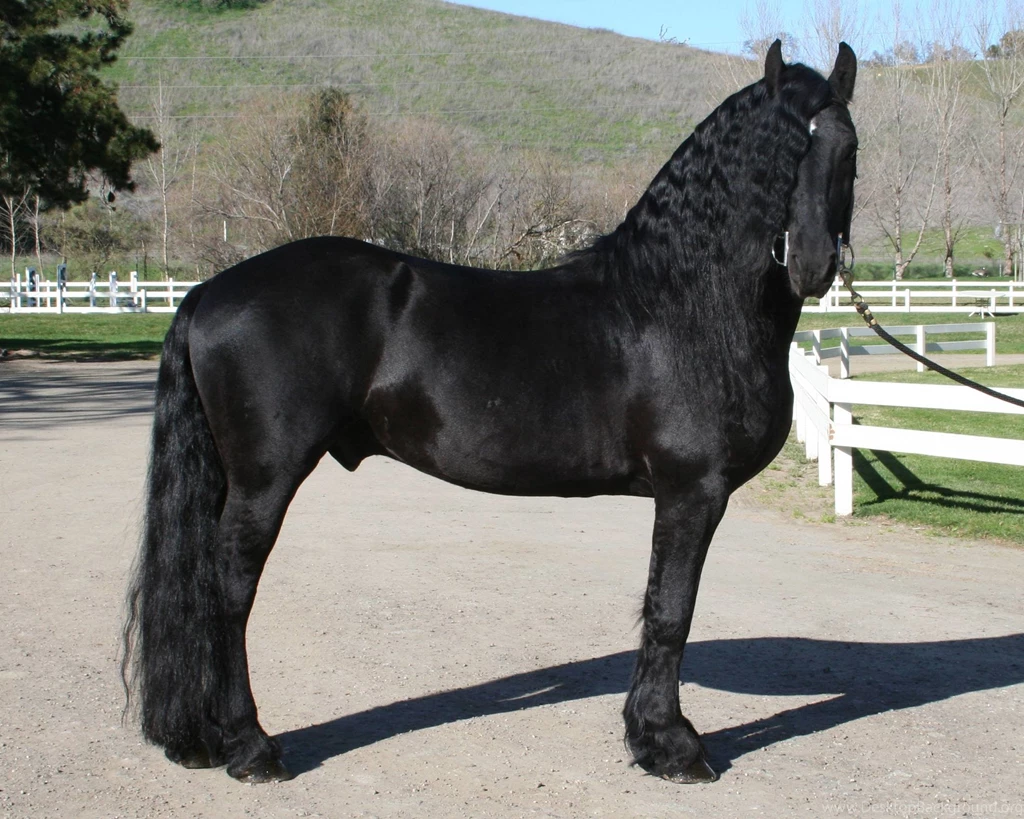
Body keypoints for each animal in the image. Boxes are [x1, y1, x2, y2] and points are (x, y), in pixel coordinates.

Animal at [123, 40, 858, 785]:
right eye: (778, 149)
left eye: (847, 148)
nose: (811, 264)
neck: (680, 304)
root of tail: (209, 290)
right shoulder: (691, 491)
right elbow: (670, 609)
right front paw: (671, 744)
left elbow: (661, 607)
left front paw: (649, 736)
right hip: (263, 480)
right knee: (230, 590)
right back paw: (249, 746)